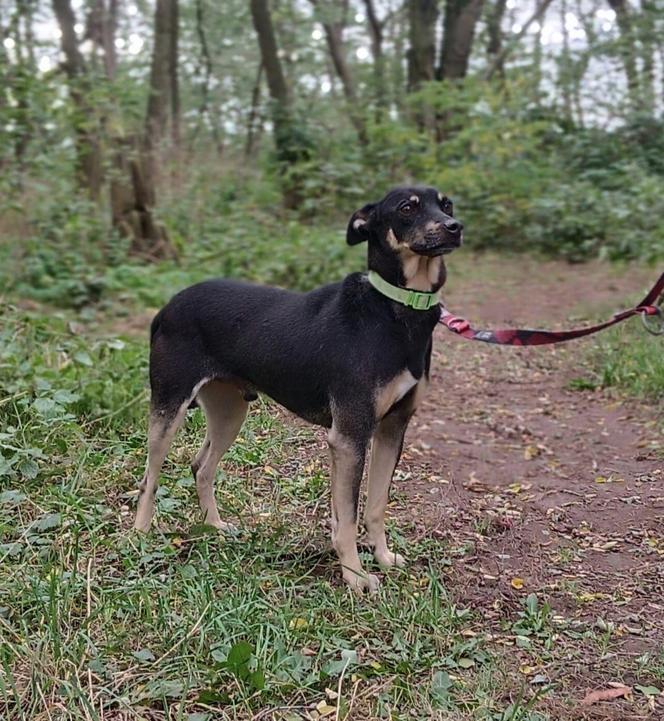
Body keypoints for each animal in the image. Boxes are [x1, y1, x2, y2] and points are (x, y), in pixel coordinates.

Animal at [133, 186, 464, 592]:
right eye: (407, 208)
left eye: (446, 204)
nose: (454, 227)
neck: (397, 308)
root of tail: (166, 307)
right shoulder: (350, 436)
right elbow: (348, 517)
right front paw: (356, 577)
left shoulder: (392, 429)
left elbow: (375, 506)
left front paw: (383, 558)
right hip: (170, 406)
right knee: (149, 477)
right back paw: (140, 535)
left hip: (230, 412)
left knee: (201, 467)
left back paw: (214, 526)